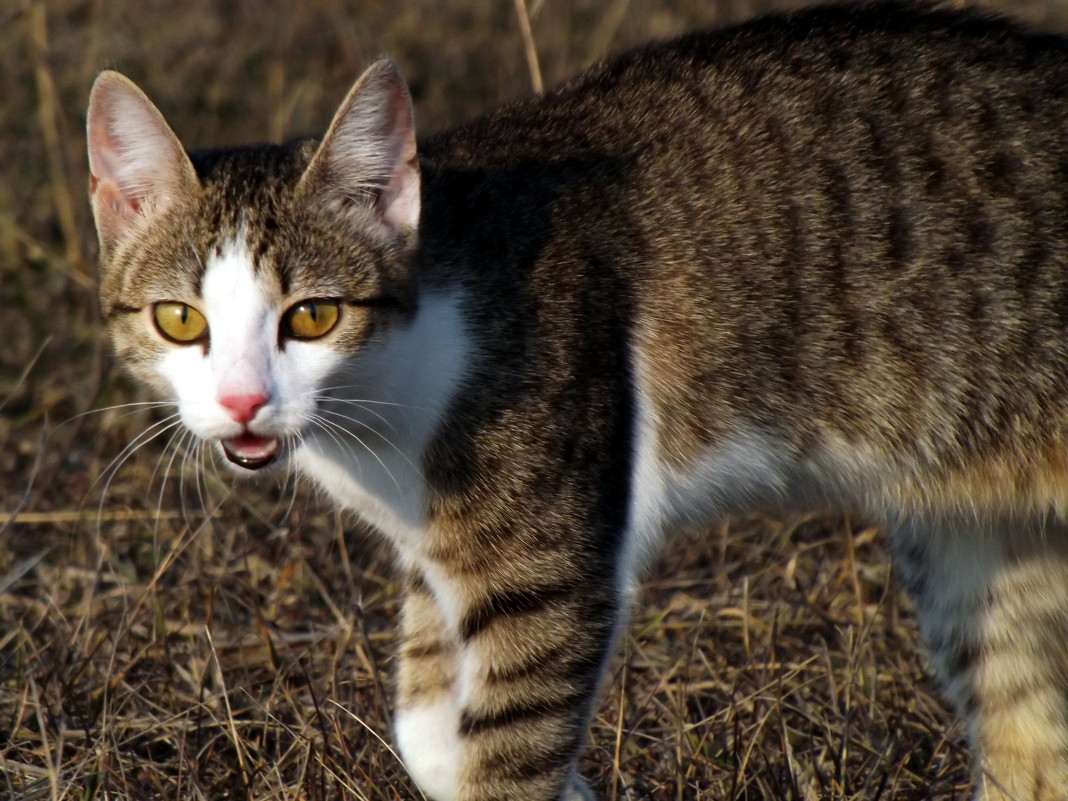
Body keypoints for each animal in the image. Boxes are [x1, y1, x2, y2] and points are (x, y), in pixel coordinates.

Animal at [87, 1, 1068, 801]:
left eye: (313, 315)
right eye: (180, 319)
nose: (243, 402)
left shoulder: (547, 563)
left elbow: (507, 750)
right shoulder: (434, 550)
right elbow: (430, 734)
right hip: (981, 544)